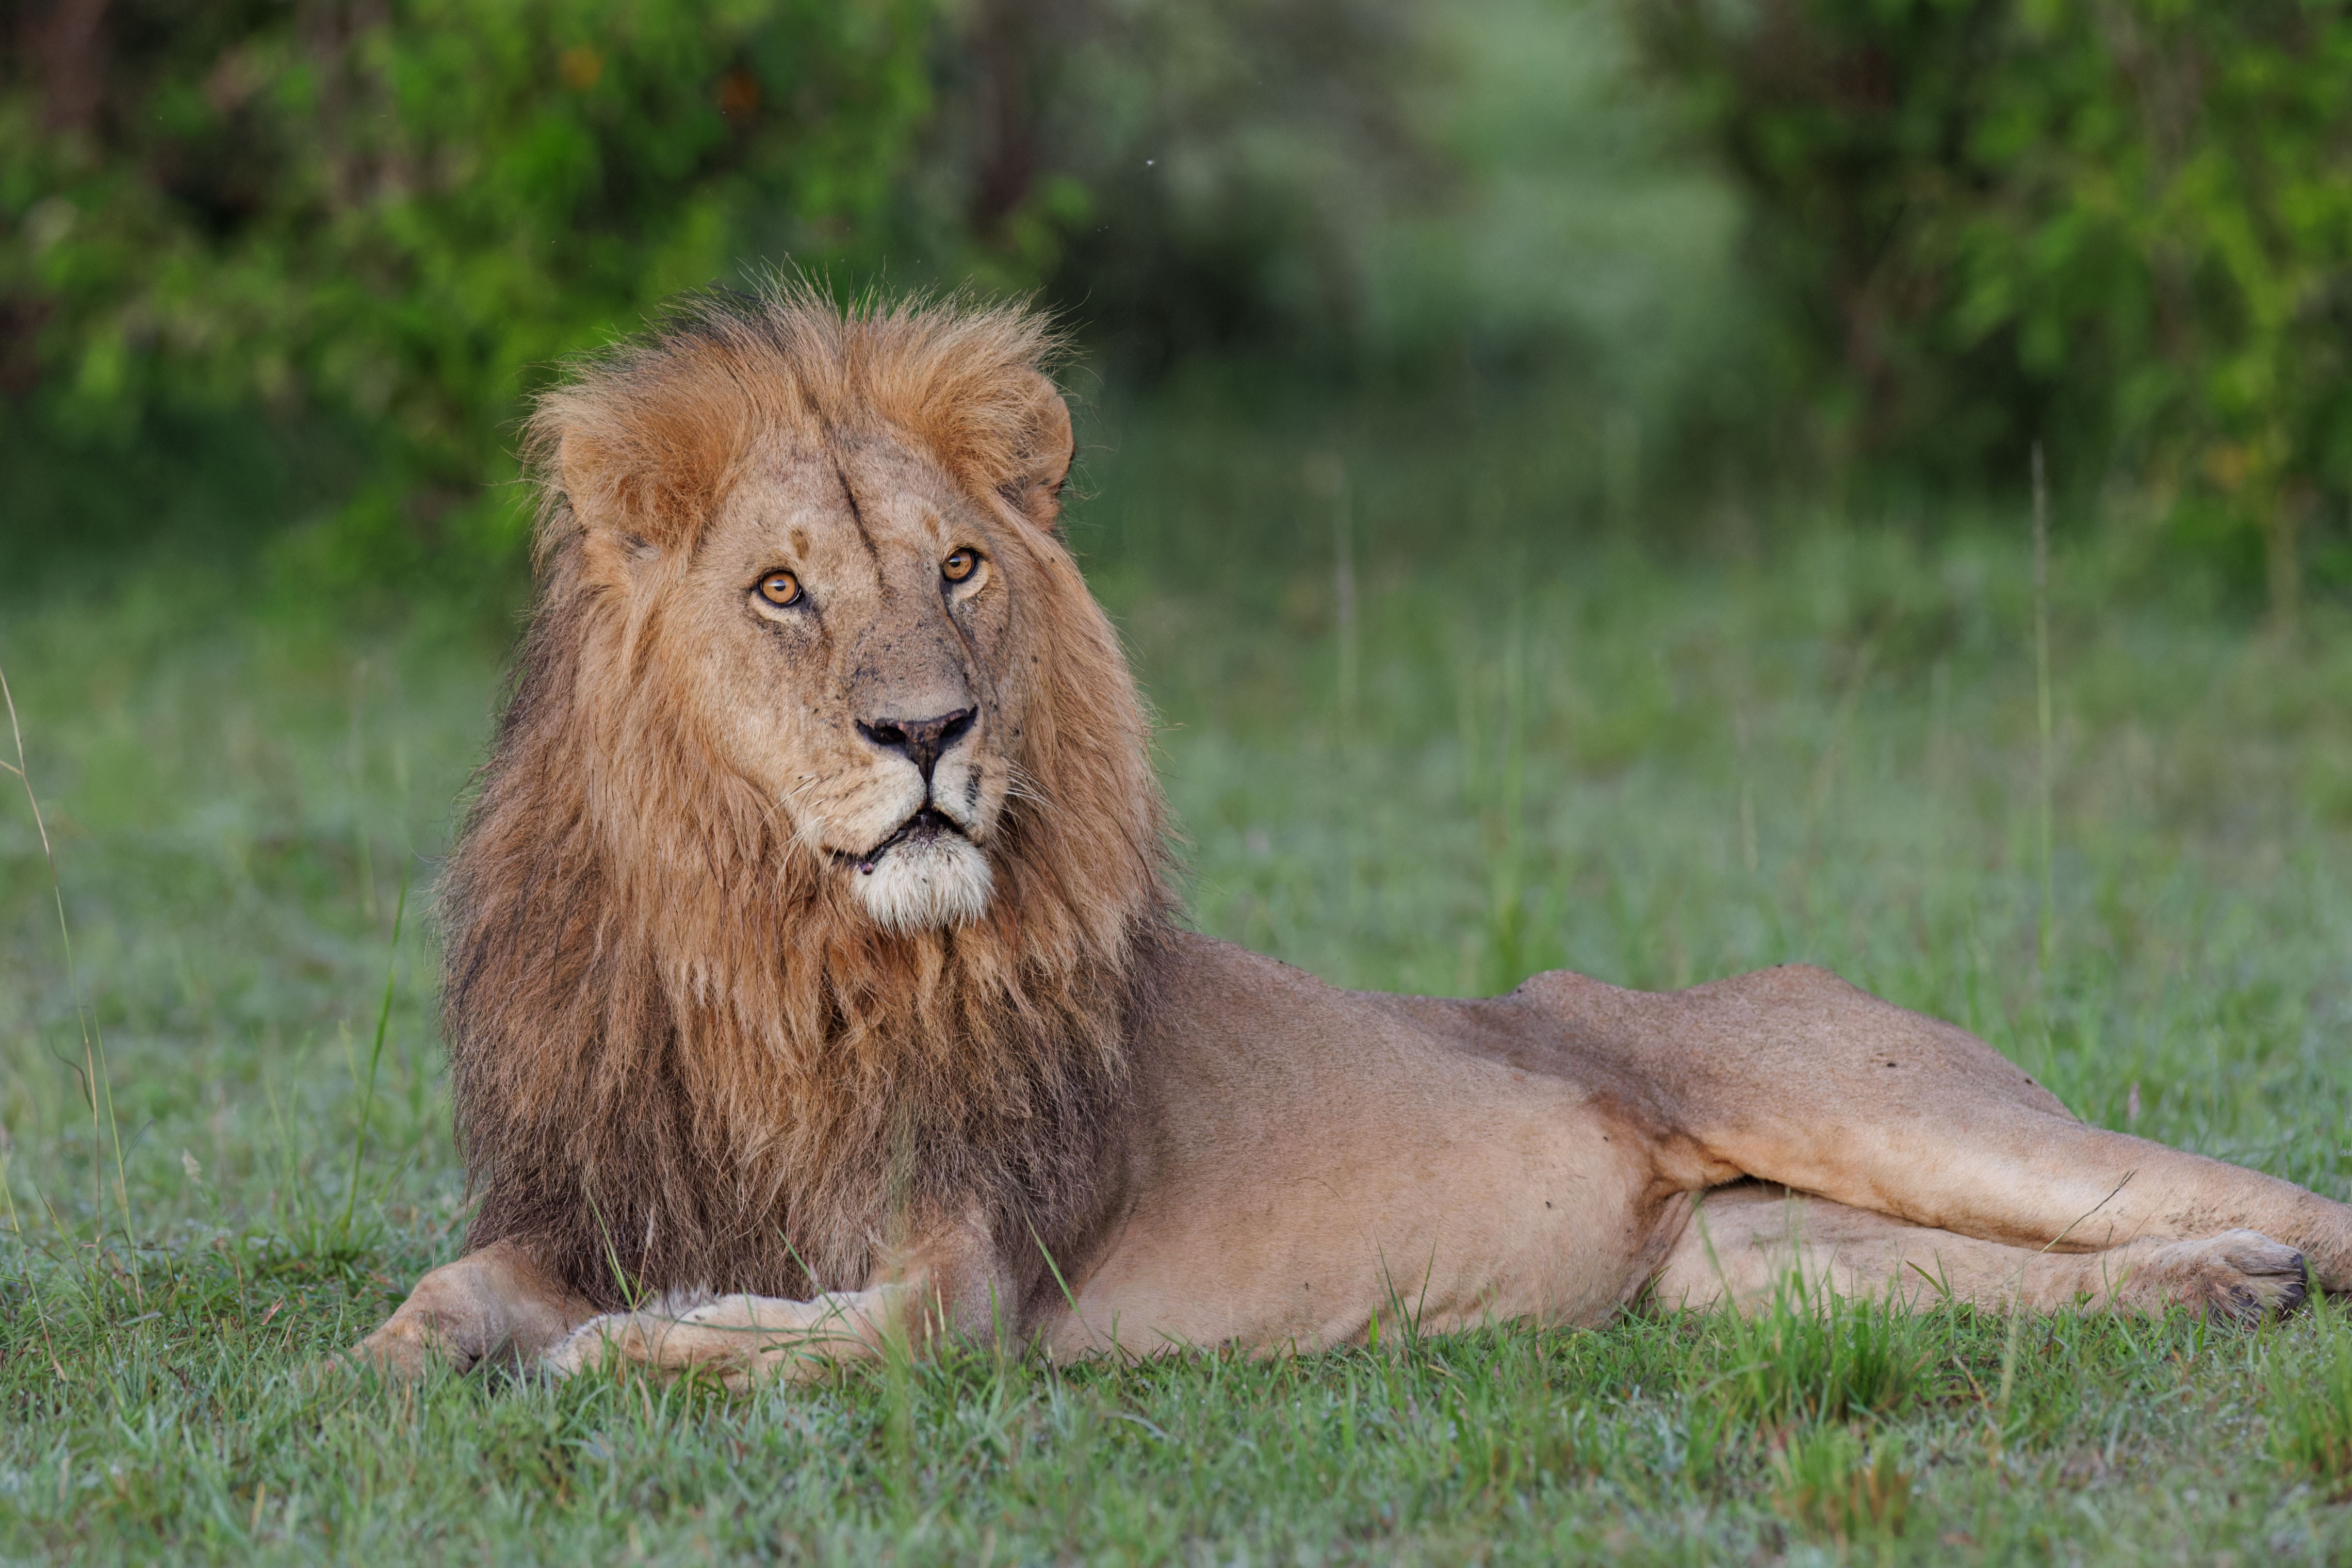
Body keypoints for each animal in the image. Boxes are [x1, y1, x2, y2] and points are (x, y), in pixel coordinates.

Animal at [356, 286, 2350, 1387]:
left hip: (1886, 1107)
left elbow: (815, 1334)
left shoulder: (976, 1268)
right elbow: (431, 1304)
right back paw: (2225, 1290)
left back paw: (2264, 1264)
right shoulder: (588, 1197)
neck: (776, 948)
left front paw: (631, 1346)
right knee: (2019, 1280)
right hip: (1754, 1266)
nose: (928, 733)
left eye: (961, 568)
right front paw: (408, 1361)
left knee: (2277, 1197)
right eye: (781, 591)